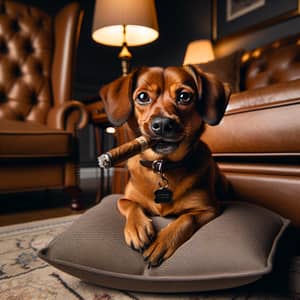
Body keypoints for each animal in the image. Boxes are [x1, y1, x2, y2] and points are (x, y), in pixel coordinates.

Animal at [99, 66, 231, 268]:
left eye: (184, 96)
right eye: (142, 97)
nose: (162, 124)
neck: (163, 165)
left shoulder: (209, 209)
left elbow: (187, 218)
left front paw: (163, 241)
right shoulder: (125, 198)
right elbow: (128, 203)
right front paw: (137, 228)